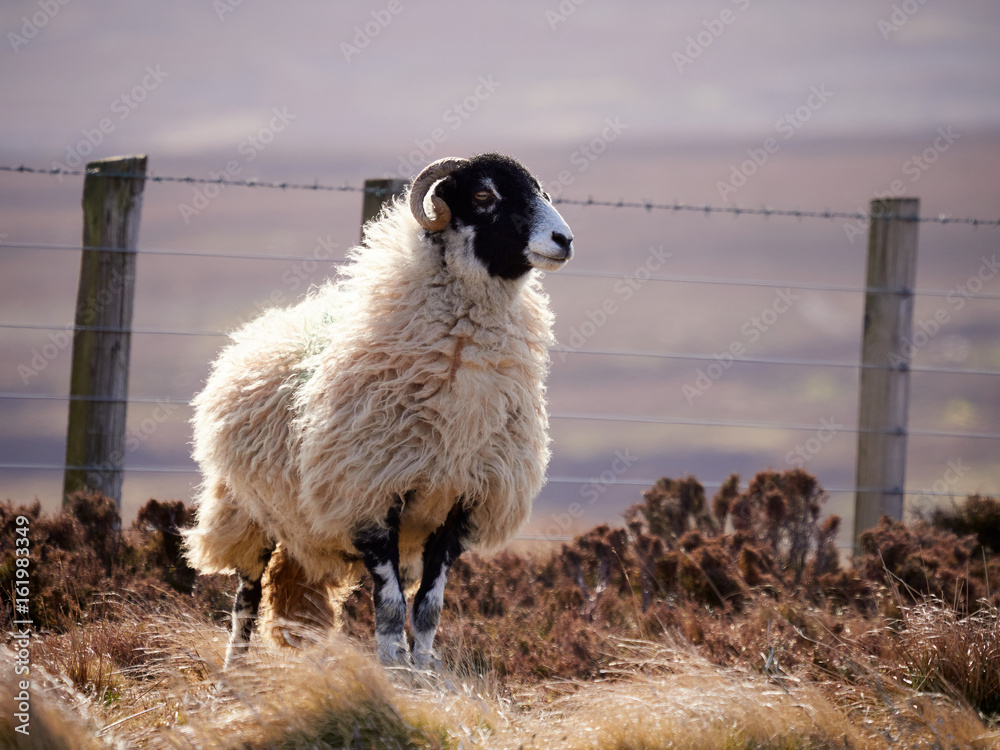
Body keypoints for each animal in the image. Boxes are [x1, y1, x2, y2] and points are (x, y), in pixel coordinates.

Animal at [183, 153, 574, 669]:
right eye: (483, 195)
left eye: (540, 191)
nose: (564, 240)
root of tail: (257, 329)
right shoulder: (368, 499)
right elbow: (389, 609)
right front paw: (393, 671)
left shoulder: (458, 509)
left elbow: (428, 610)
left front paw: (422, 674)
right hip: (247, 511)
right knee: (245, 601)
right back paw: (234, 675)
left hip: (305, 531)